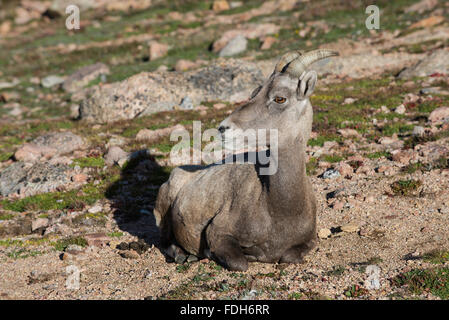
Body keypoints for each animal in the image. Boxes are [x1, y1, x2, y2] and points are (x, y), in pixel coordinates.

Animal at [156, 49, 338, 270]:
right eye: (254, 93)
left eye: (280, 98)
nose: (223, 128)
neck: (279, 211)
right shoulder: (219, 233)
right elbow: (240, 263)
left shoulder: (308, 241)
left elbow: (289, 257)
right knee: (165, 242)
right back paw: (184, 256)